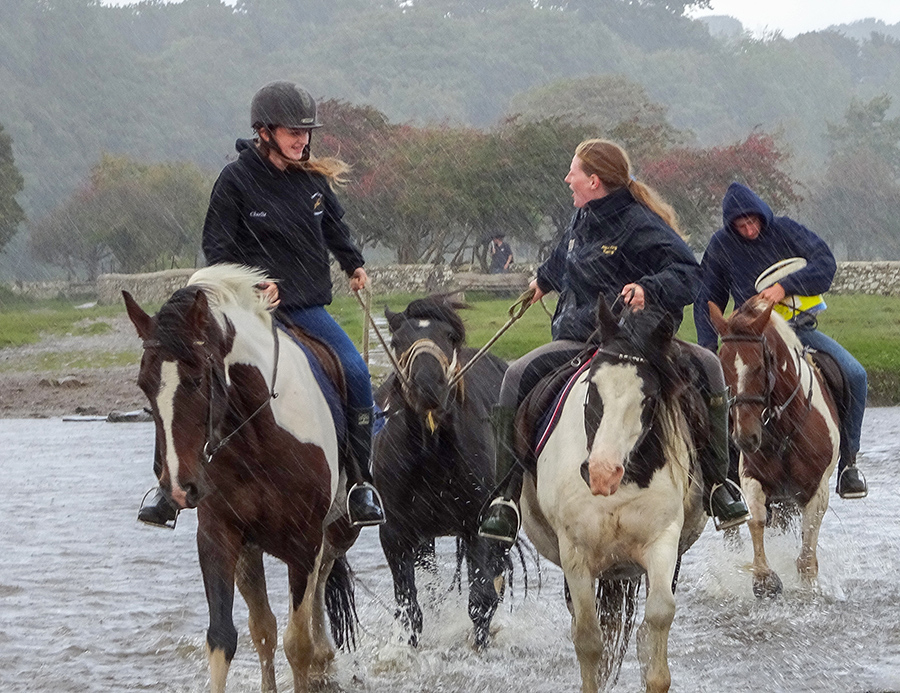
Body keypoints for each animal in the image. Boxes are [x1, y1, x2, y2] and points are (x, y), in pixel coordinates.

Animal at [123, 263, 359, 693]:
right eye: (144, 385)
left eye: (197, 379)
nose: (179, 488)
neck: (257, 433)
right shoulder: (220, 535)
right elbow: (224, 638)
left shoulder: (304, 542)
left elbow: (297, 643)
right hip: (252, 552)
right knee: (263, 627)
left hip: (335, 534)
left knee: (318, 592)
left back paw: (323, 660)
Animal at [373, 296, 509, 651]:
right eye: (396, 341)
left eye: (450, 337)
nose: (427, 386)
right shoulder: (396, 534)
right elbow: (409, 608)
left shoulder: (477, 525)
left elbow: (482, 600)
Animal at [519, 301, 707, 693]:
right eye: (592, 388)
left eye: (649, 398)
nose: (602, 473)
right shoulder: (575, 555)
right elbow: (589, 639)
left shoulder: (662, 542)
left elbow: (658, 618)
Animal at [709, 296, 839, 598]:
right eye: (723, 366)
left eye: (760, 365)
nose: (745, 438)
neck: (784, 431)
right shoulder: (752, 479)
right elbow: (755, 521)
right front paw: (763, 579)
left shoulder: (817, 491)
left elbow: (806, 557)